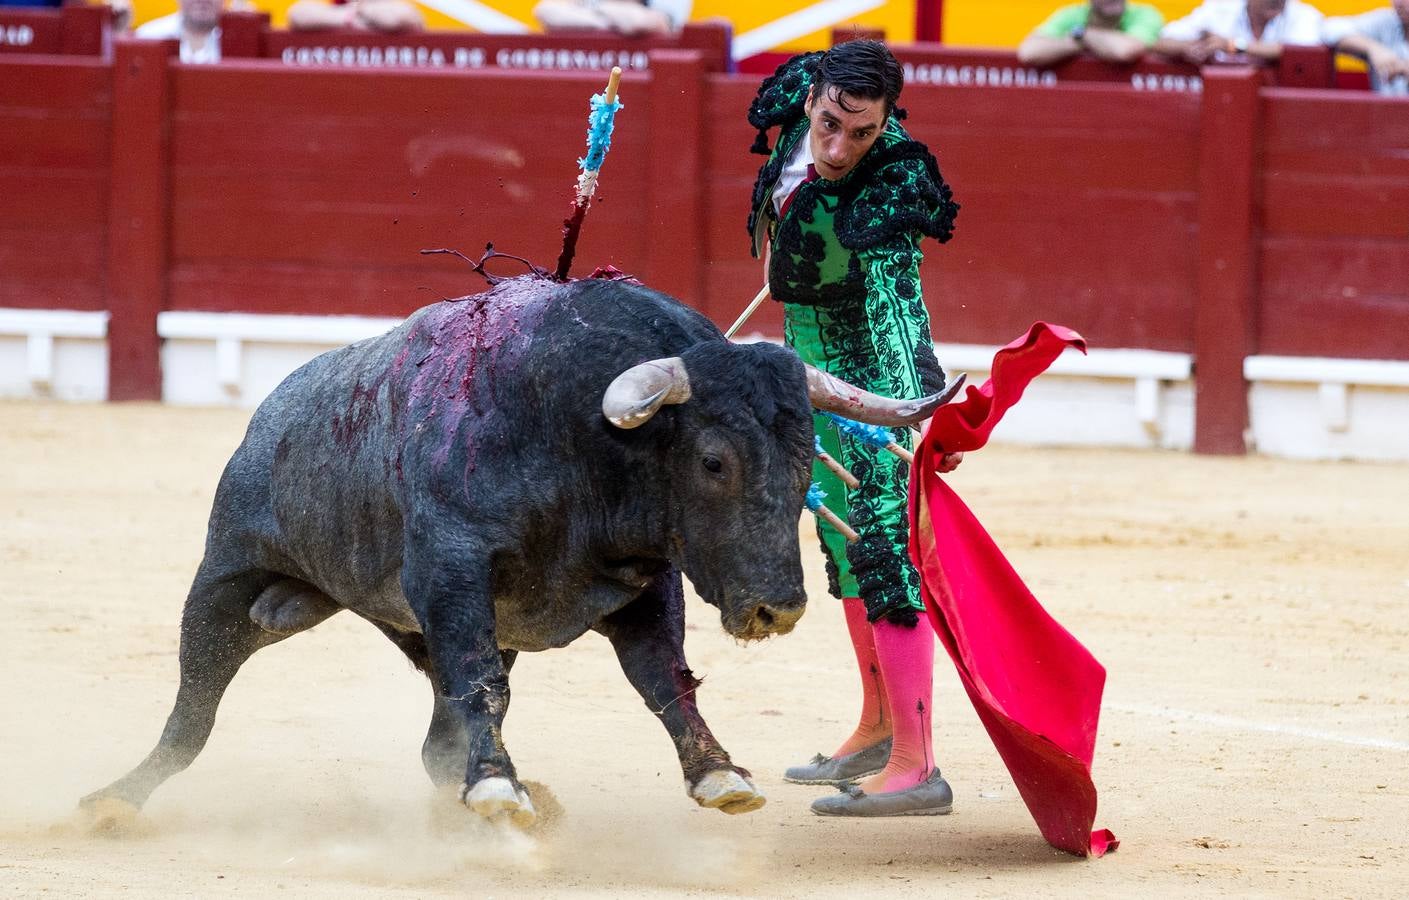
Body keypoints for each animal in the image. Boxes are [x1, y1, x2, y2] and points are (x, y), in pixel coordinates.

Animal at [79, 276, 958, 833]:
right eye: (713, 461)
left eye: (808, 460)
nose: (777, 607)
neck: (579, 437)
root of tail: (275, 408)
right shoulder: (454, 574)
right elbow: (483, 686)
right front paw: (497, 787)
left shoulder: (642, 583)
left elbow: (661, 679)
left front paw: (718, 775)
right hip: (228, 577)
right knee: (196, 703)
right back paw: (113, 799)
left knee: (436, 738)